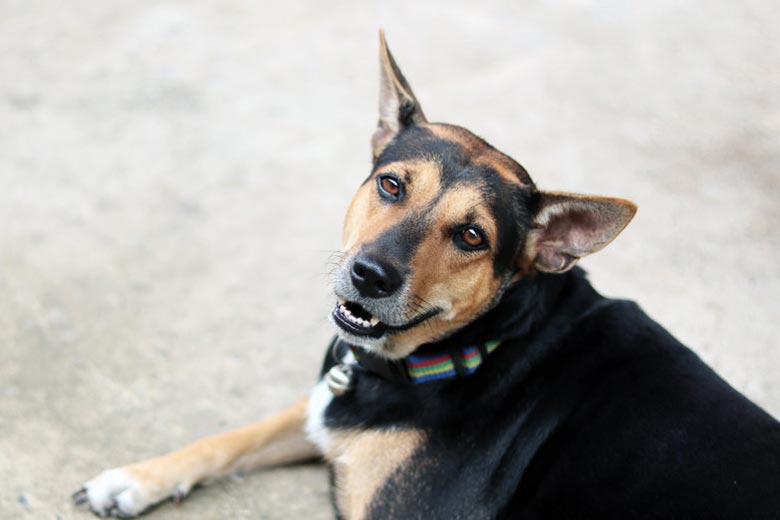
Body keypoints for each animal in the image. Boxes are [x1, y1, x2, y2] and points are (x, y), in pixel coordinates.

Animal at [74, 32, 780, 520]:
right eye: (391, 184)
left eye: (472, 236)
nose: (370, 276)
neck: (473, 350)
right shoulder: (329, 403)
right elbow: (234, 436)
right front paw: (134, 478)